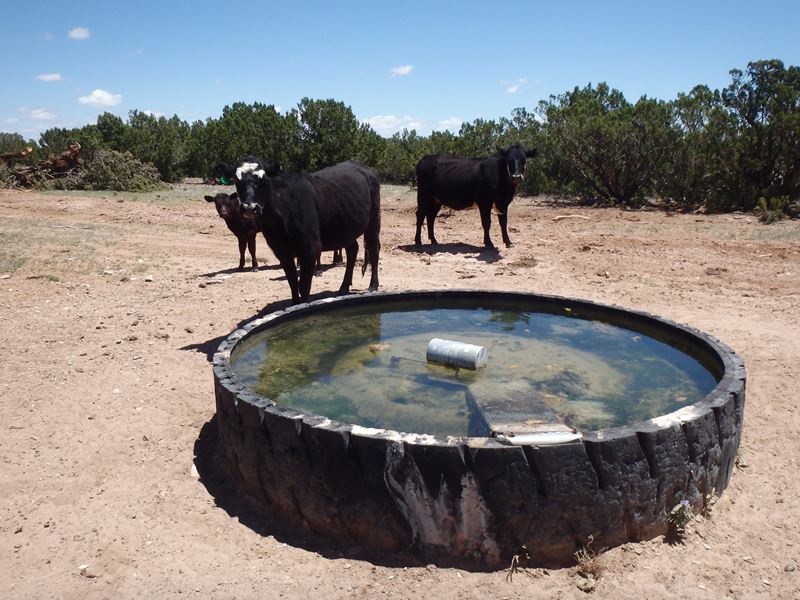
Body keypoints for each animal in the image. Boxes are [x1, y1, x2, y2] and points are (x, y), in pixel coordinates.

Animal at [219, 157, 382, 304]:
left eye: (263, 179)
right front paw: (294, 303)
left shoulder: (310, 248)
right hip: (346, 228)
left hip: (374, 220)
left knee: (374, 250)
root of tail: (362, 166)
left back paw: (373, 286)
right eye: (237, 180)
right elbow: (292, 283)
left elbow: (303, 286)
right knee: (352, 250)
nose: (249, 208)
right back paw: (343, 287)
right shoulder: (281, 251)